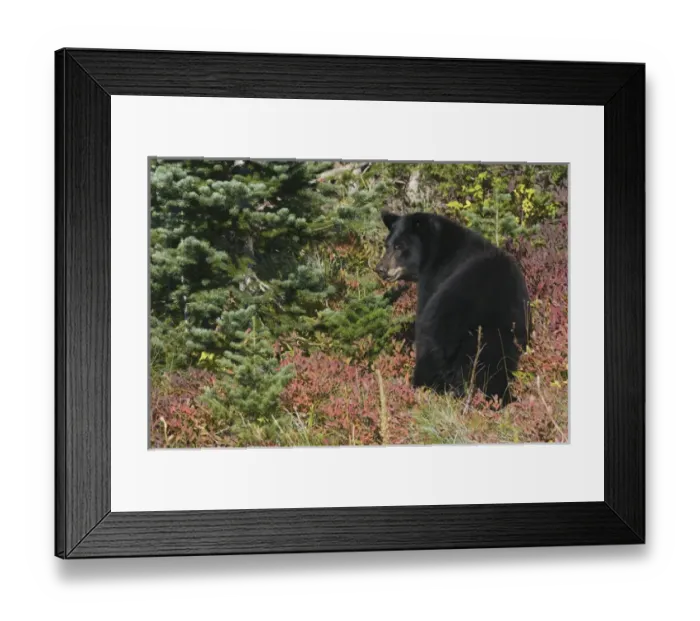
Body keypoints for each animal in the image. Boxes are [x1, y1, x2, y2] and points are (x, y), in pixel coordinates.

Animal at [375, 211, 530, 405]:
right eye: (387, 245)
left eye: (399, 246)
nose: (380, 268)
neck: (438, 253)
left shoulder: (432, 282)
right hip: (509, 333)